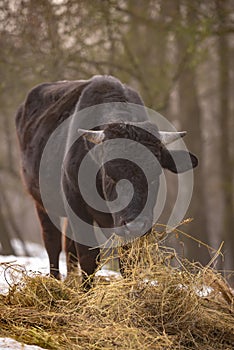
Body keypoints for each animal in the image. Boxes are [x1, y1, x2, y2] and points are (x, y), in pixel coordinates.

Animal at [15, 75, 197, 286]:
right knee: (52, 243)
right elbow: (88, 258)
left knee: (68, 247)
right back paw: (55, 281)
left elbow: (127, 262)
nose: (135, 226)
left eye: (154, 176)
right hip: (42, 203)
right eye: (109, 175)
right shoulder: (77, 206)